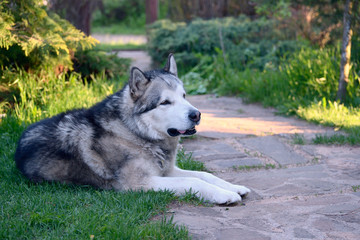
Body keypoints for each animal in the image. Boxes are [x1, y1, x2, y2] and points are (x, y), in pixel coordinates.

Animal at [14, 54, 250, 204]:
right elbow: (193, 180)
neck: (135, 133)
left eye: (184, 96)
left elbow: (204, 174)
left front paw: (232, 187)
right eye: (165, 102)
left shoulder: (167, 171)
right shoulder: (140, 183)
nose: (197, 115)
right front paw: (223, 195)